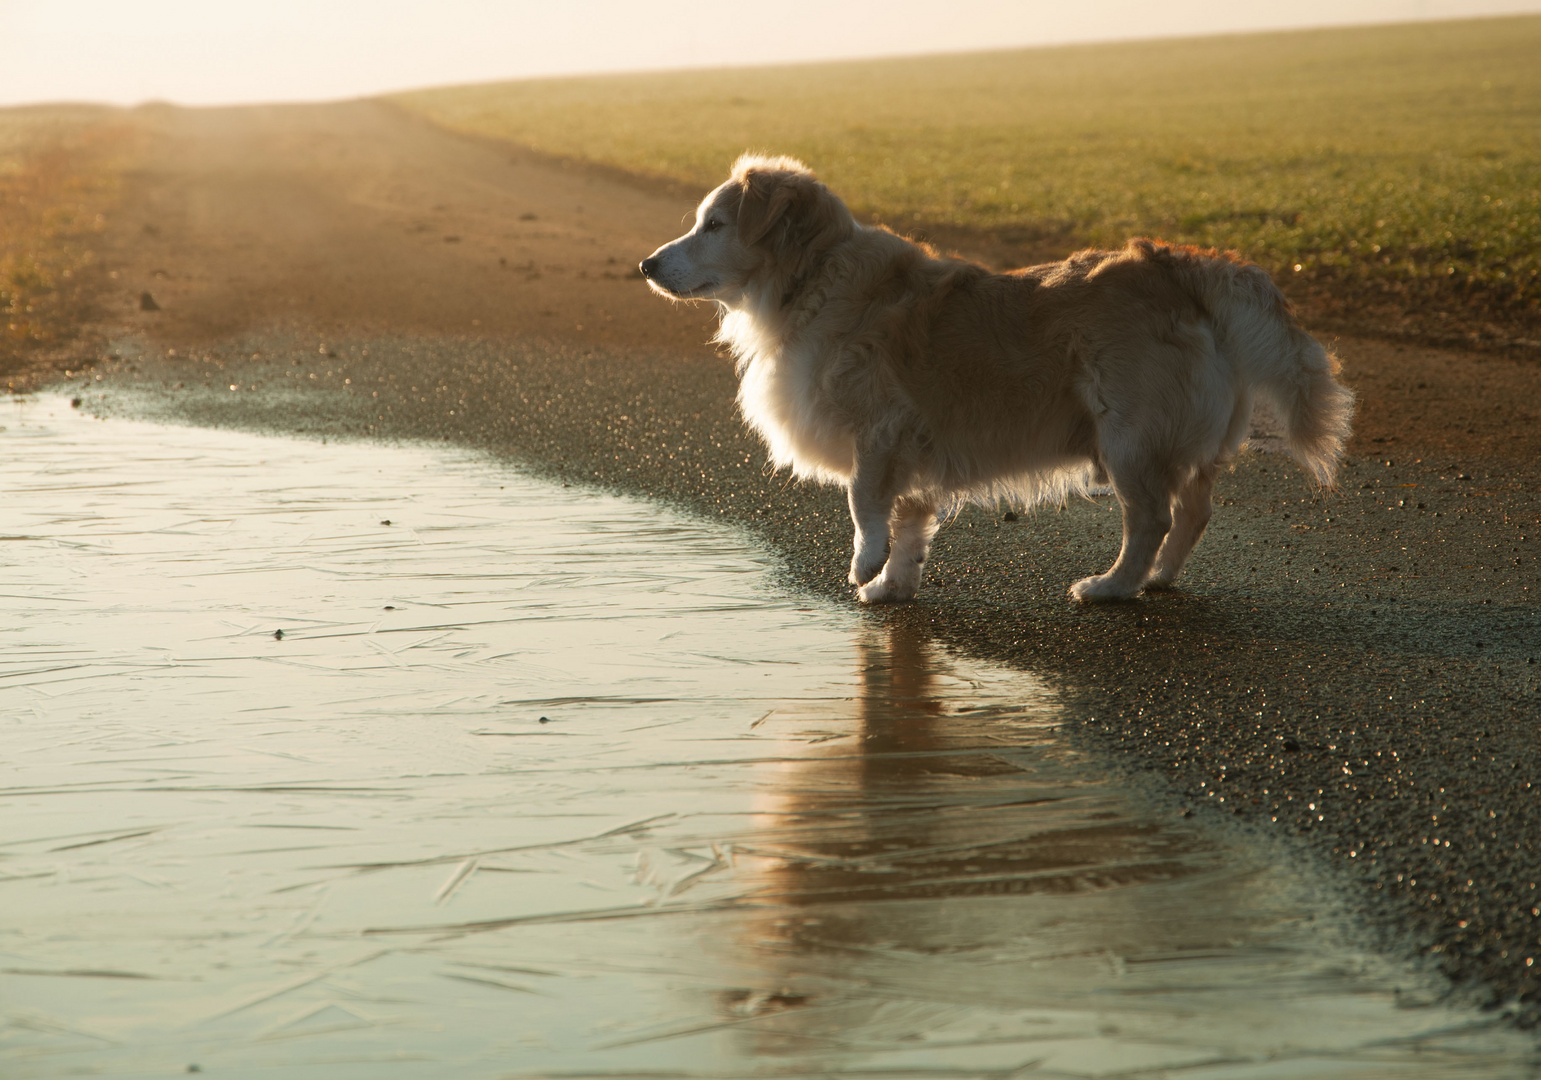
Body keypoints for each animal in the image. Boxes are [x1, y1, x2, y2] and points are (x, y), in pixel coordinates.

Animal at [637, 155, 1349, 603]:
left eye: (714, 225)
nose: (646, 264)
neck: (811, 279)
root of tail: (1179, 266)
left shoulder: (882, 430)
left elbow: (865, 503)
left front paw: (865, 562)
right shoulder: (914, 449)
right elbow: (911, 522)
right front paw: (893, 585)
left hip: (1127, 435)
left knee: (1151, 516)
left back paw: (1113, 586)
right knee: (1195, 511)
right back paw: (1156, 579)